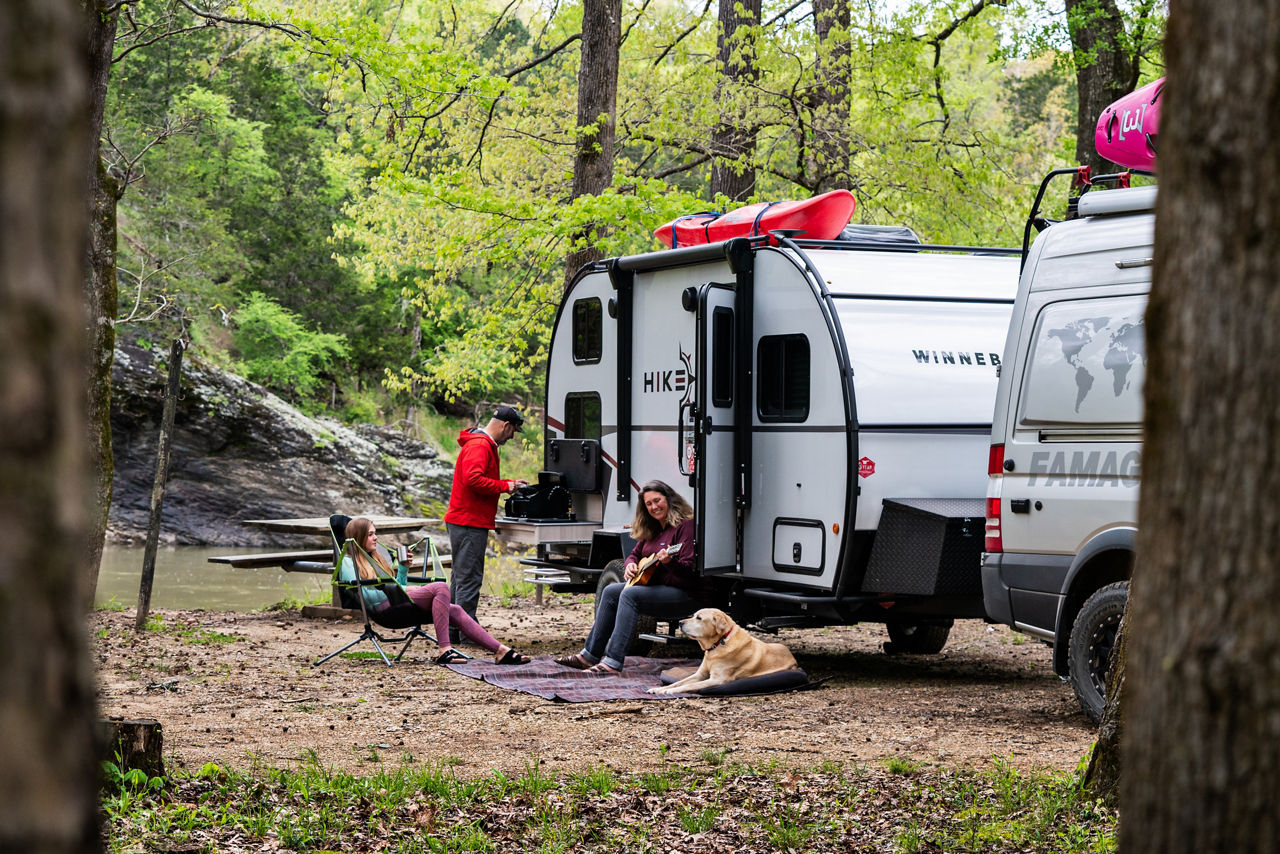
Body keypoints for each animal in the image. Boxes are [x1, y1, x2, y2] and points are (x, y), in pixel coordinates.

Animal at [655, 606, 793, 696]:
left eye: (699, 618)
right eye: (693, 616)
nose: (680, 622)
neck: (718, 644)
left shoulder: (717, 680)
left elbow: (689, 685)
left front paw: (670, 691)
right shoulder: (700, 674)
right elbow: (679, 682)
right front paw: (661, 689)